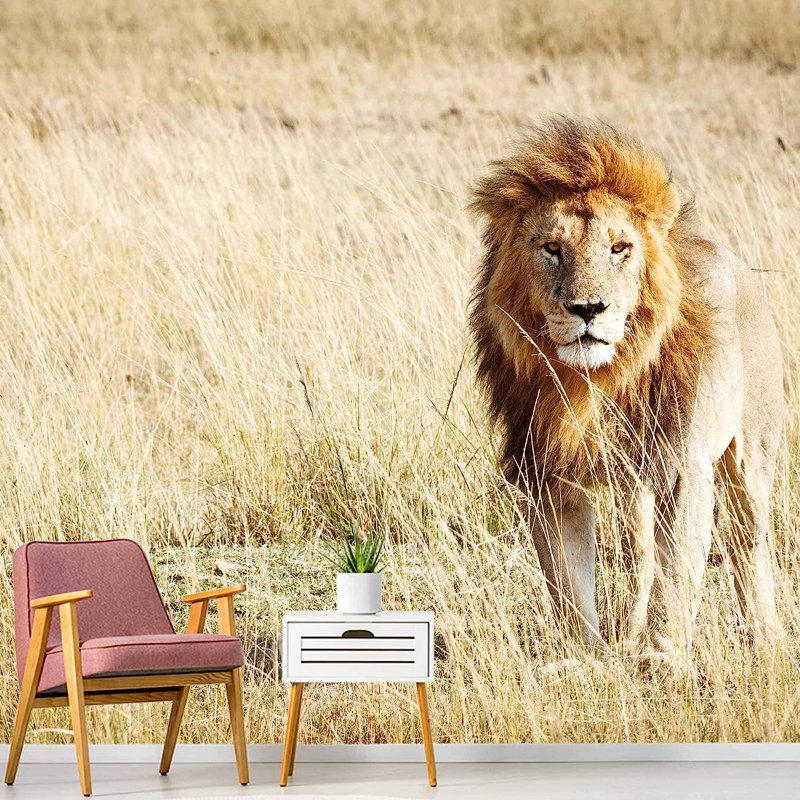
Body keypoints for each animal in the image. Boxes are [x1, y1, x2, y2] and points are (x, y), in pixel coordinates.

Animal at [469, 117, 784, 665]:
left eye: (620, 249)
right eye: (552, 248)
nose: (587, 309)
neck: (593, 381)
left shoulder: (683, 467)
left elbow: (676, 575)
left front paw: (662, 660)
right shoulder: (546, 474)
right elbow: (569, 581)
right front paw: (583, 659)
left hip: (751, 456)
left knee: (750, 544)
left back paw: (764, 639)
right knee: (641, 553)